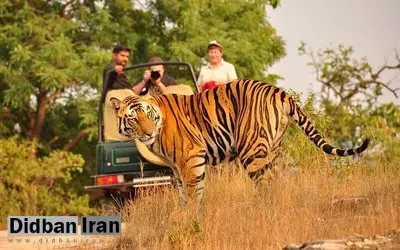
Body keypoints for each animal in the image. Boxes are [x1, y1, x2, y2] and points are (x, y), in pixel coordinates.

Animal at [108, 79, 368, 212]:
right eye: (133, 118)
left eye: (147, 115)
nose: (149, 132)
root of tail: (278, 91)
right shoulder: (176, 168)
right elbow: (183, 195)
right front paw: (183, 218)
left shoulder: (191, 158)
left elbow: (193, 193)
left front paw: (192, 220)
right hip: (272, 150)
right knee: (277, 182)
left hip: (252, 152)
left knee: (266, 185)